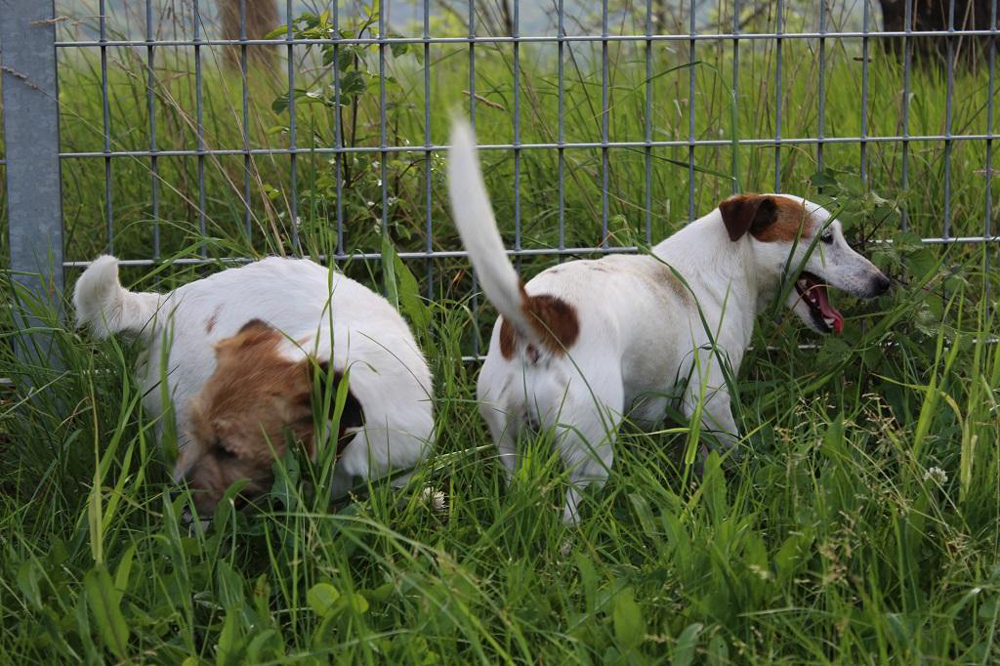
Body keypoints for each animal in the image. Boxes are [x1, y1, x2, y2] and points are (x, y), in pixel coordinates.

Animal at [448, 120, 892, 524]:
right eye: (826, 238)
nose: (883, 283)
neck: (728, 263)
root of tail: (537, 316)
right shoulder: (709, 397)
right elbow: (731, 449)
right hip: (591, 445)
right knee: (572, 511)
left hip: (508, 438)